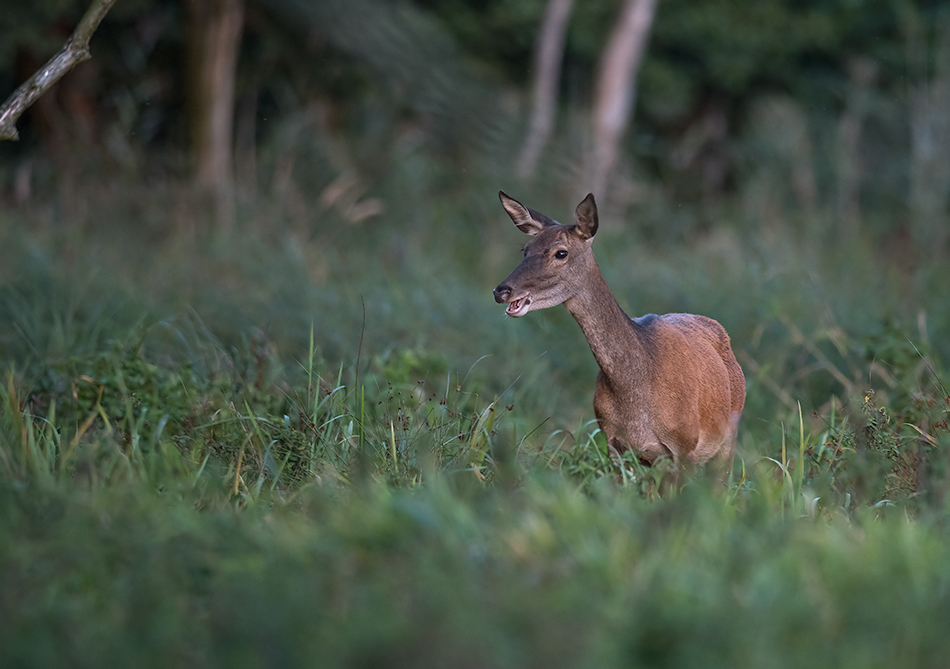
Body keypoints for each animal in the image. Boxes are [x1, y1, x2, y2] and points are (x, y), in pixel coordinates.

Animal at [494, 190, 748, 478]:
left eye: (561, 252)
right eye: (525, 250)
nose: (502, 291)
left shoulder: (684, 445)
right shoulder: (614, 442)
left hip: (728, 438)